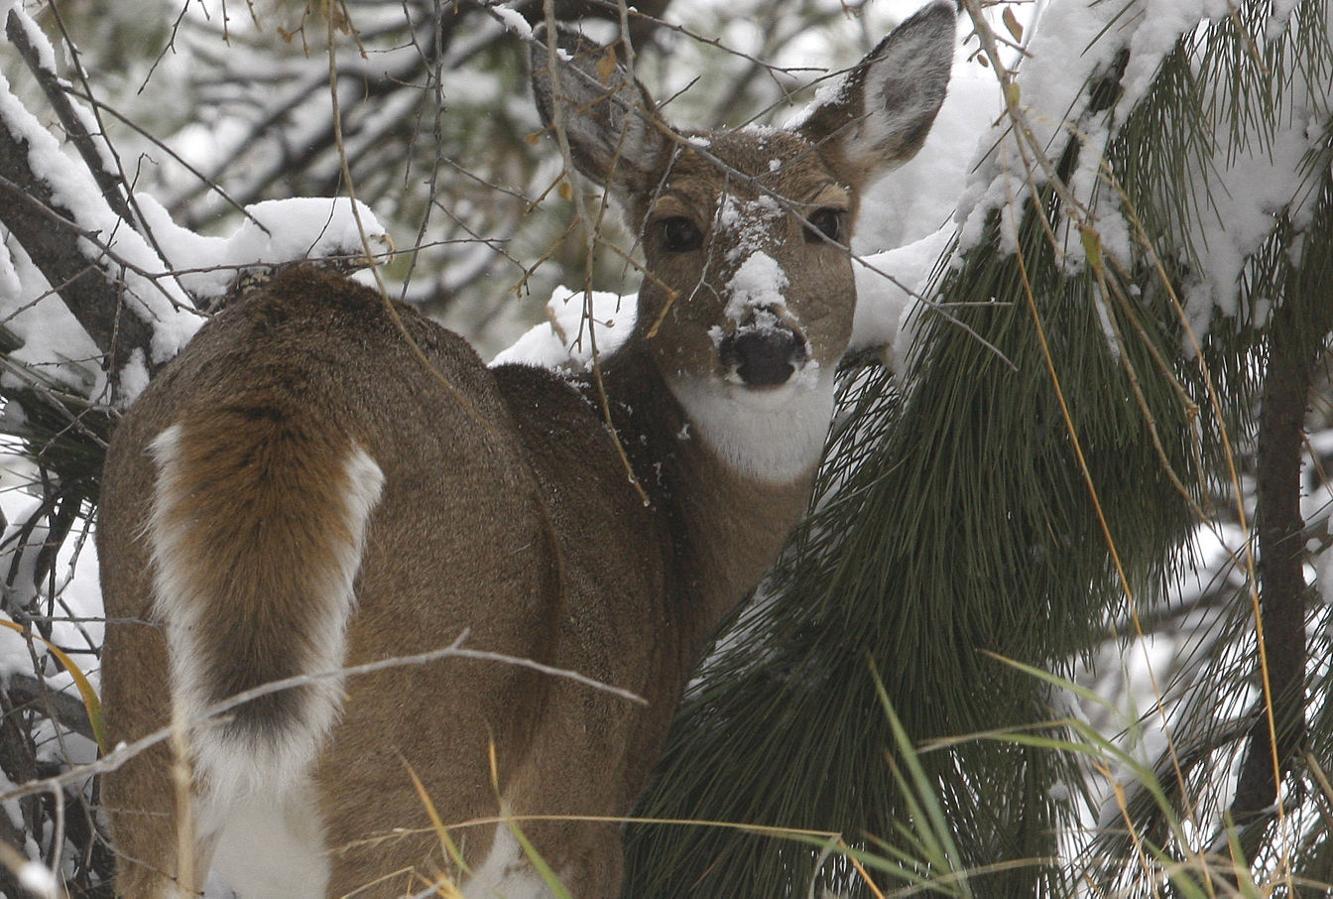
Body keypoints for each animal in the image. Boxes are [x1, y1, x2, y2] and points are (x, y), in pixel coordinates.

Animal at [95, 5, 955, 896]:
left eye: (826, 219)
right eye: (674, 228)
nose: (762, 345)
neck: (667, 527)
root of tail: (285, 389)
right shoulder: (585, 816)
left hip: (143, 745)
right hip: (427, 757)